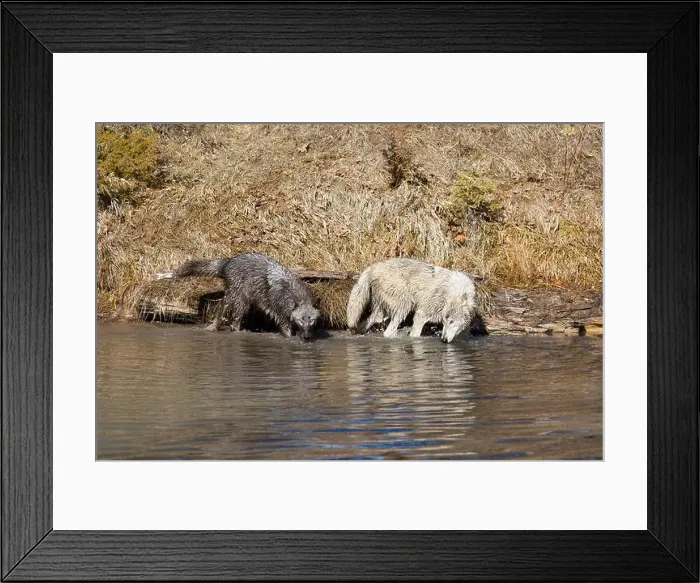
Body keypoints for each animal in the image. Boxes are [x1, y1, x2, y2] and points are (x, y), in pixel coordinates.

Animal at [164, 253, 320, 340]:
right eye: (301, 320)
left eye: (312, 321)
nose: (307, 337)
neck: (291, 293)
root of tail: (228, 262)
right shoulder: (281, 316)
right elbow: (286, 330)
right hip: (241, 302)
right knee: (233, 323)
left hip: (236, 298)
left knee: (223, 308)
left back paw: (214, 326)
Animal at [346, 258, 476, 343]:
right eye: (445, 321)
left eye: (451, 322)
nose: (443, 340)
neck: (457, 290)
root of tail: (373, 267)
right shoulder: (421, 314)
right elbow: (416, 334)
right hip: (404, 307)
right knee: (388, 332)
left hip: (381, 314)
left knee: (366, 323)